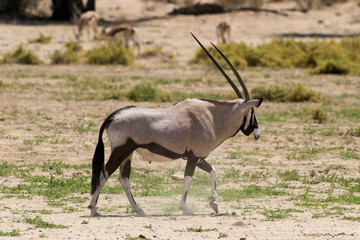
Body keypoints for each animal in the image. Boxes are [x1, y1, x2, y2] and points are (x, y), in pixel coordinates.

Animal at [87, 32, 262, 217]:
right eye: (252, 112)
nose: (257, 133)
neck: (212, 116)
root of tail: (112, 117)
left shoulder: (198, 157)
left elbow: (213, 170)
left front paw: (214, 203)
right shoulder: (194, 156)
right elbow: (188, 179)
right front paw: (186, 208)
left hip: (128, 154)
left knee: (123, 178)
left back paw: (138, 209)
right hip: (120, 151)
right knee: (104, 174)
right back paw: (94, 209)